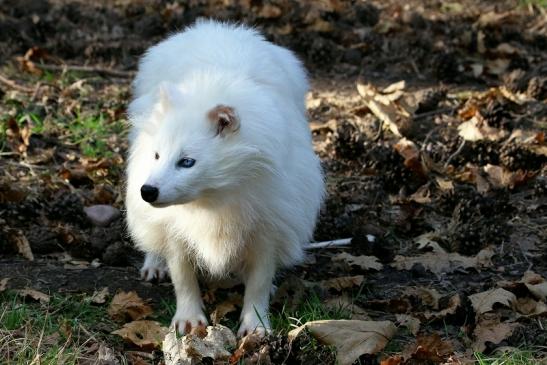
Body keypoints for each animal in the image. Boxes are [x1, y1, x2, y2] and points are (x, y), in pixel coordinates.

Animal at [126, 18, 324, 334]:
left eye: (187, 162)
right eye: (156, 156)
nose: (148, 191)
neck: (214, 199)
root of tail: (214, 26)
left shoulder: (269, 226)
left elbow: (259, 281)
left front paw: (255, 324)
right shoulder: (174, 226)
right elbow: (182, 275)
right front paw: (188, 318)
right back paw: (154, 263)